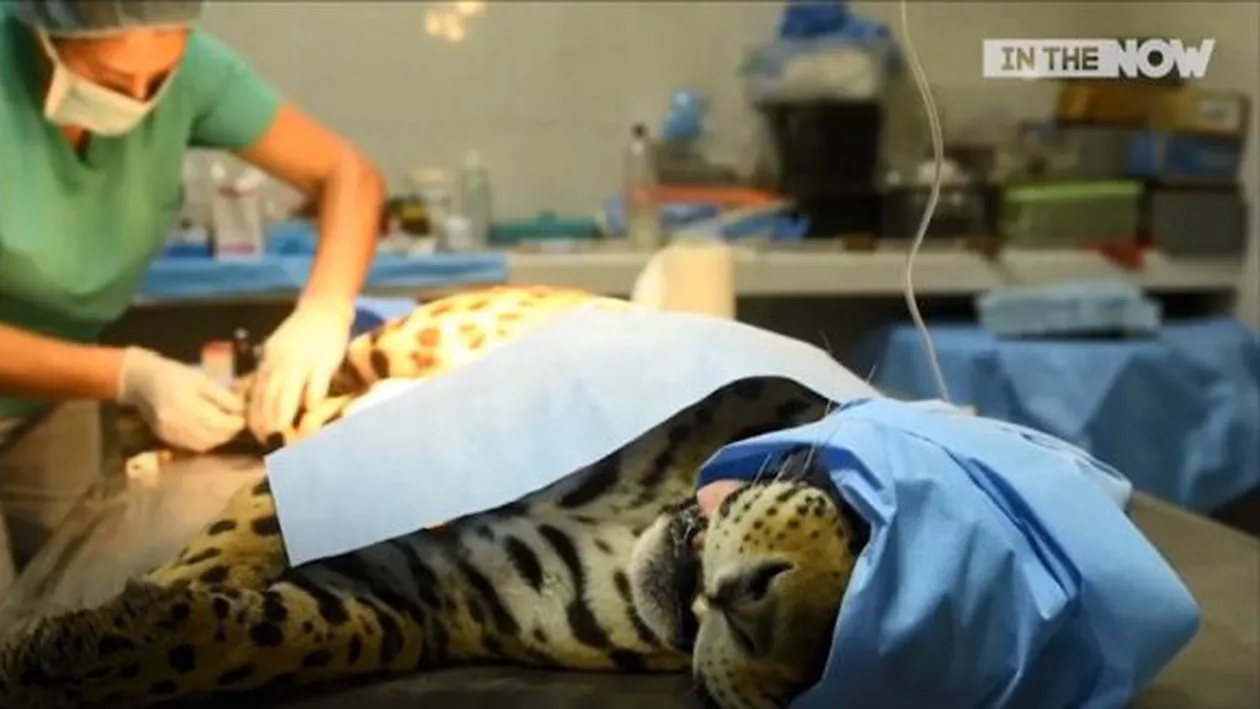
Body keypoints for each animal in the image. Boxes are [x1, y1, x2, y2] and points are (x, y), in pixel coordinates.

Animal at [0, 284, 870, 709]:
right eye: (860, 516)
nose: (761, 618)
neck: (635, 524)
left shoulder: (420, 597)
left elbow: (293, 633)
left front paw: (91, 644)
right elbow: (238, 537)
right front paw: (132, 608)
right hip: (400, 340)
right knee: (275, 399)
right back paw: (170, 421)